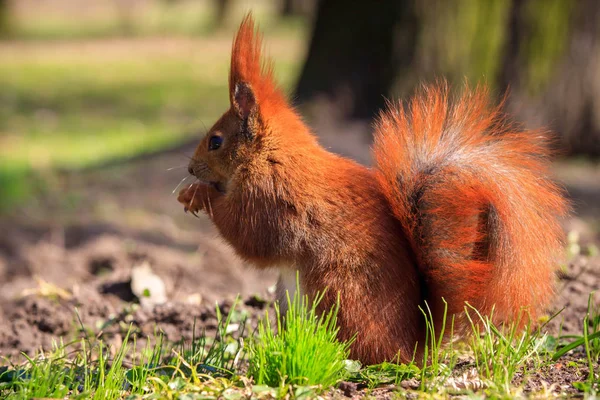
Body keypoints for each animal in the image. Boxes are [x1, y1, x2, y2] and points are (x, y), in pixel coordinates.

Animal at [177, 14, 568, 366]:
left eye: (215, 141)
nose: (190, 168)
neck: (273, 155)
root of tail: (415, 347)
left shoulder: (272, 199)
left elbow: (250, 237)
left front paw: (199, 194)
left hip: (337, 291)